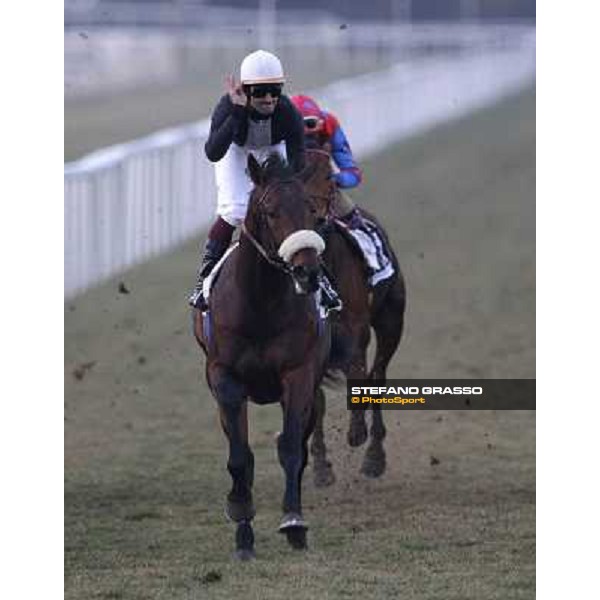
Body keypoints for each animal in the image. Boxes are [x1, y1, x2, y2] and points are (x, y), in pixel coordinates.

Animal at [192, 152, 332, 560]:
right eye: (270, 212)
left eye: (312, 211)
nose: (307, 270)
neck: (260, 305)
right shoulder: (225, 378)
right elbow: (240, 456)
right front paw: (242, 525)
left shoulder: (299, 374)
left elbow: (290, 447)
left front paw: (294, 522)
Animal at [302, 148, 406, 486]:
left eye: (328, 176)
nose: (315, 219)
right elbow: (316, 402)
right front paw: (321, 467)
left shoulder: (356, 329)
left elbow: (359, 375)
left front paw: (357, 433)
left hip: (391, 320)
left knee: (377, 376)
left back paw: (374, 457)